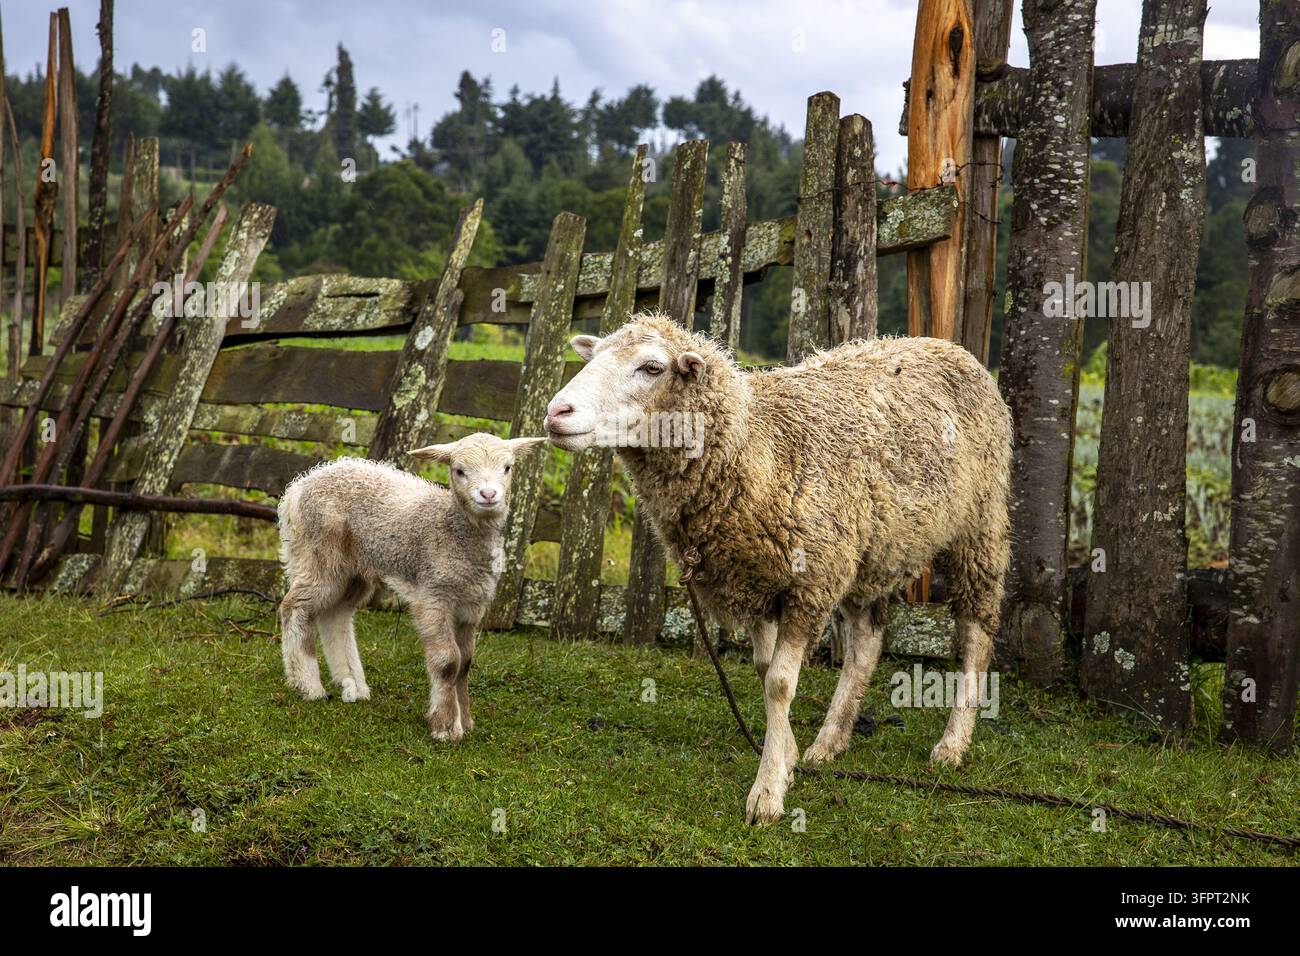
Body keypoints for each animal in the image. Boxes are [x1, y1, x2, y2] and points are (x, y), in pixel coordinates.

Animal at [276, 433, 547, 740]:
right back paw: (308, 685)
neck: (453, 528)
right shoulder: (433, 596)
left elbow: (465, 663)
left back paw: (353, 684)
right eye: (459, 471)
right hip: (319, 553)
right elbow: (448, 662)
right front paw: (445, 726)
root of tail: (298, 489)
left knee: (336, 615)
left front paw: (465, 720)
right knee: (295, 607)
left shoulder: (471, 604)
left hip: (353, 569)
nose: (488, 495)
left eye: (507, 468)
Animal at [544, 313, 1012, 823]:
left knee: (977, 632)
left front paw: (767, 792)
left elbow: (781, 684)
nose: (555, 413)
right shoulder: (754, 579)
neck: (756, 451)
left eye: (651, 368)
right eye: (594, 356)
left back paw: (952, 743)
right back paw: (830, 741)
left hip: (978, 525)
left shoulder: (810, 583)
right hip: (871, 548)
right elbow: (765, 669)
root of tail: (949, 348)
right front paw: (784, 754)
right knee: (867, 640)